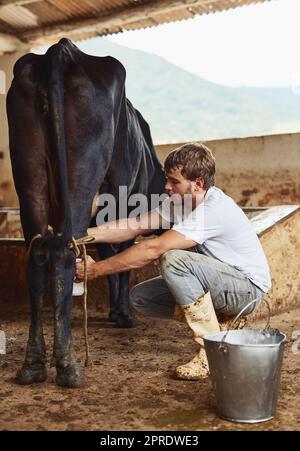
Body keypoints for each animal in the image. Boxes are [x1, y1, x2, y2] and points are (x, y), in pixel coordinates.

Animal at [7, 38, 165, 388]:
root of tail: (60, 52)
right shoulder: (125, 205)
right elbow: (121, 257)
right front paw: (123, 313)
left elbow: (108, 255)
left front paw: (115, 310)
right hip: (82, 171)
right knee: (64, 252)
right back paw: (68, 366)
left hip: (29, 174)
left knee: (38, 254)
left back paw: (33, 364)